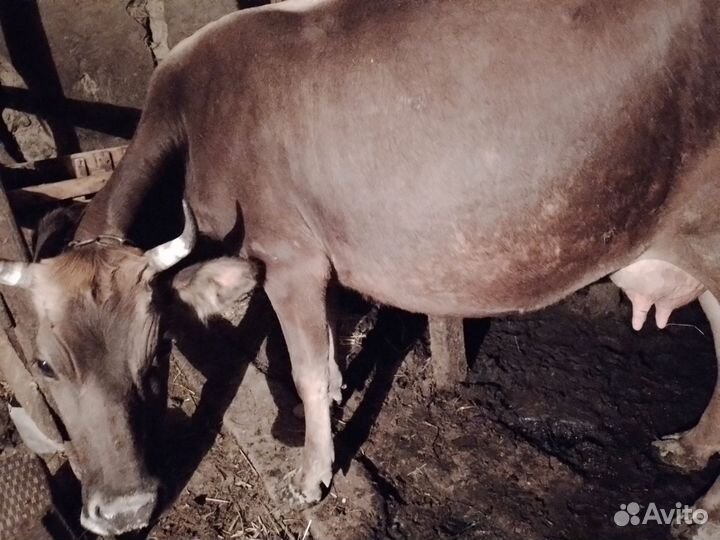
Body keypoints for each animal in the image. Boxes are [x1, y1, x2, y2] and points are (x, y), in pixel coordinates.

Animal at [1, 0, 719, 537]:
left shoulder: (289, 256)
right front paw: (334, 396)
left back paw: (705, 512)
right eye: (43, 366)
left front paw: (312, 472)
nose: (121, 512)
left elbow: (305, 369)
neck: (194, 119)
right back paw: (689, 448)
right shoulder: (307, 259)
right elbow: (323, 343)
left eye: (154, 356)